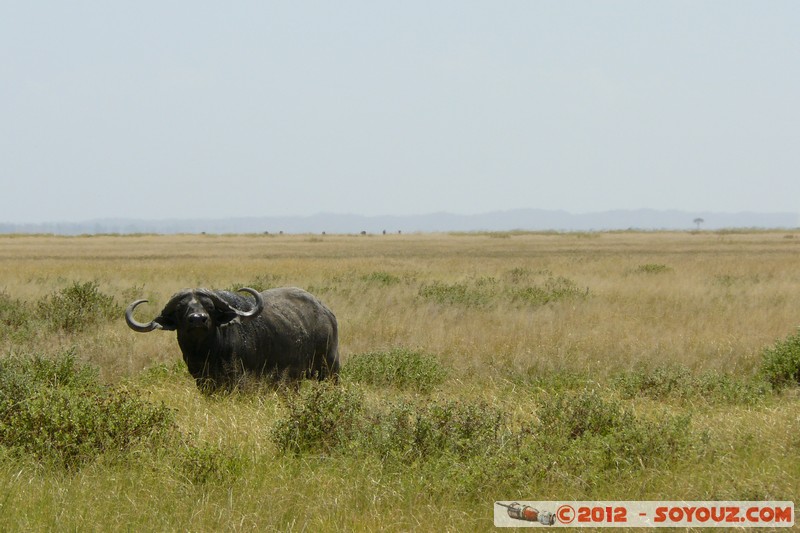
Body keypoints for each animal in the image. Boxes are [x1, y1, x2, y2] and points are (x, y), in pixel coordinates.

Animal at [125, 287, 339, 391]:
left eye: (209, 306)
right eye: (180, 308)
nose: (198, 319)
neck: (208, 354)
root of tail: (326, 313)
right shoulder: (203, 381)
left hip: (330, 369)